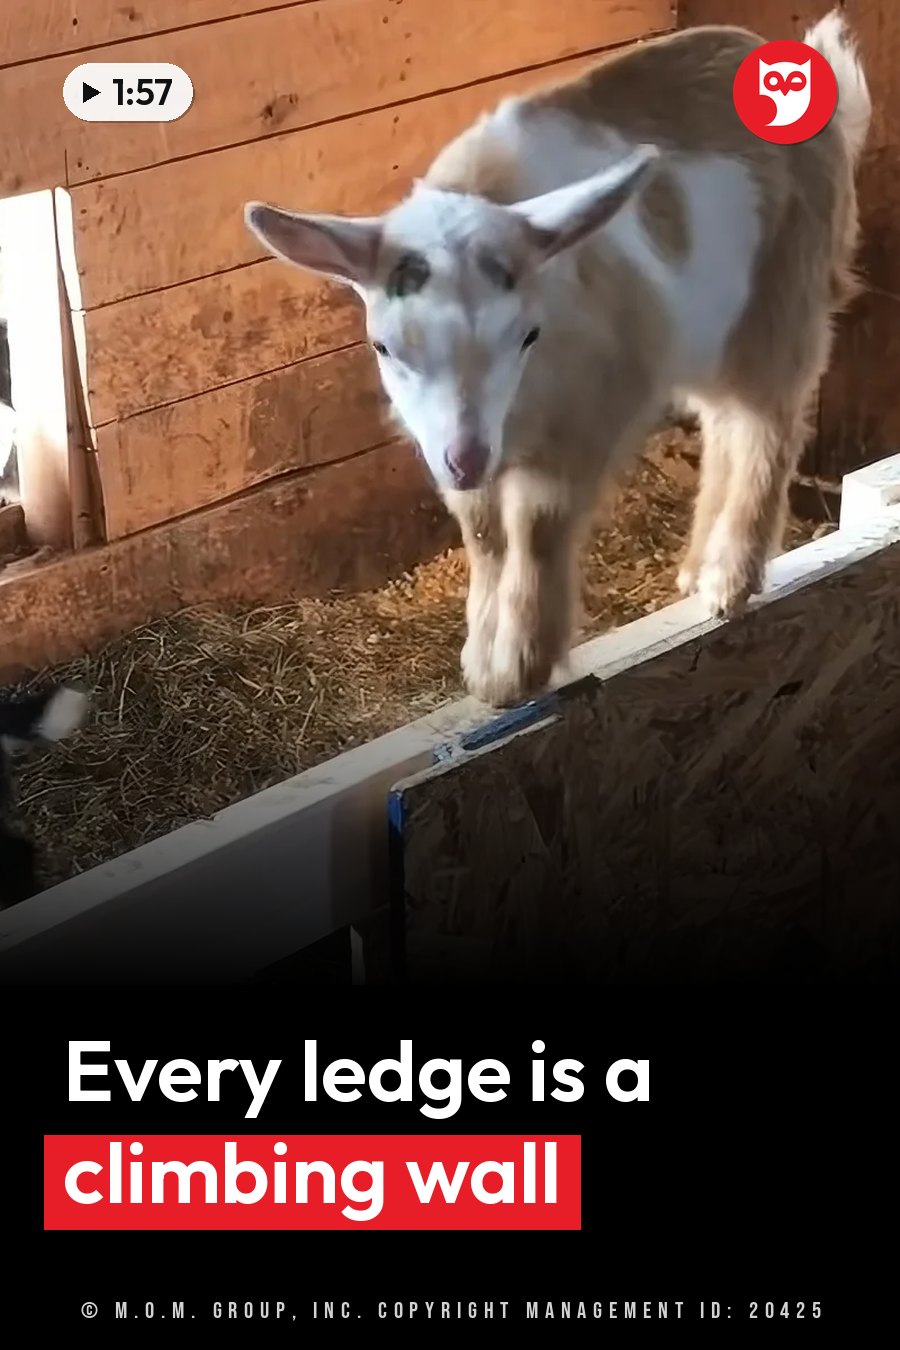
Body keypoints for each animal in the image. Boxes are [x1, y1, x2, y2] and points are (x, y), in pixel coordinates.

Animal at [245, 10, 870, 707]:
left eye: (528, 335)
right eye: (385, 346)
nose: (467, 460)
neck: (512, 414)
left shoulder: (584, 418)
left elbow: (536, 528)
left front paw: (520, 667)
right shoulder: (456, 446)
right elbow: (485, 537)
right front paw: (482, 667)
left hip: (784, 298)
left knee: (769, 424)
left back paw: (728, 580)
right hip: (711, 331)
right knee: (725, 425)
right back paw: (694, 570)